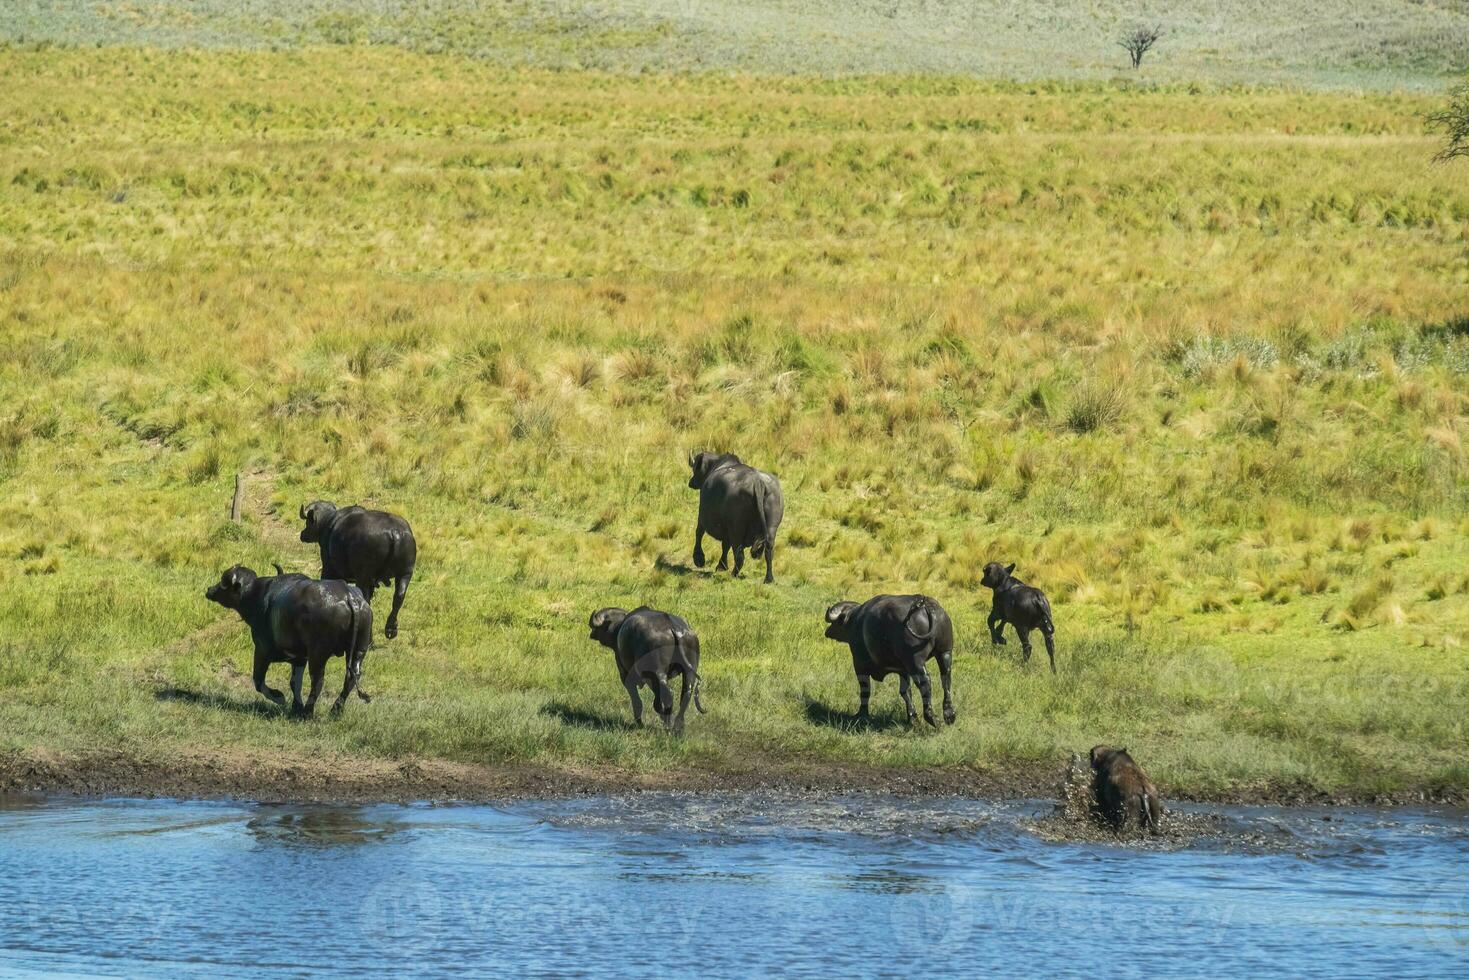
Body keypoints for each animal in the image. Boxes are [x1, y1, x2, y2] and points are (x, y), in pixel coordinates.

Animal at [204, 564, 370, 717]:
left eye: (223, 582)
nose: (209, 590)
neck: (258, 594)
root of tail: (349, 597)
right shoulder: (300, 658)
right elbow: (295, 682)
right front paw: (296, 706)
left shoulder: (262, 650)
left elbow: (258, 680)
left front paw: (280, 697)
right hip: (359, 650)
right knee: (351, 677)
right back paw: (336, 709)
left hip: (318, 654)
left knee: (318, 681)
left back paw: (308, 712)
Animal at [296, 502, 417, 640]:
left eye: (307, 522)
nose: (302, 534)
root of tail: (394, 532)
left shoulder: (329, 569)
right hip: (405, 574)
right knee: (398, 597)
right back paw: (391, 629)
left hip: (363, 577)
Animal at [584, 605, 705, 734]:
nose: (591, 634)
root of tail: (674, 628)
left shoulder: (625, 675)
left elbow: (637, 701)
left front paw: (640, 722)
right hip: (689, 670)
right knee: (686, 693)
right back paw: (678, 726)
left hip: (658, 672)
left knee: (668, 695)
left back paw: (668, 724)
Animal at [684, 452, 781, 581]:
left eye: (695, 470)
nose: (691, 482)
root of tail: (757, 482)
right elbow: (725, 545)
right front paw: (721, 565)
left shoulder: (702, 518)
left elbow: (699, 533)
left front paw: (699, 559)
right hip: (771, 528)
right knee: (768, 551)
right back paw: (769, 578)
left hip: (736, 529)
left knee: (739, 555)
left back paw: (734, 574)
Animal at [822, 590, 957, 728]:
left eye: (835, 623)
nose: (827, 632)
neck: (856, 621)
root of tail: (923, 604)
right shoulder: (903, 670)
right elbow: (905, 692)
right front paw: (912, 719)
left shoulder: (859, 664)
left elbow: (865, 690)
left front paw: (861, 714)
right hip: (945, 652)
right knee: (946, 678)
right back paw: (949, 715)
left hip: (915, 661)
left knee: (925, 681)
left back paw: (932, 718)